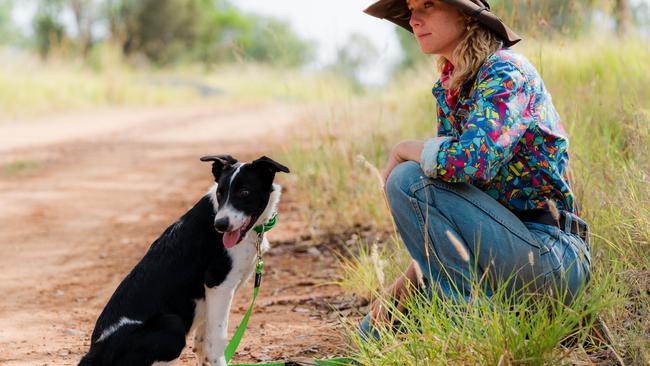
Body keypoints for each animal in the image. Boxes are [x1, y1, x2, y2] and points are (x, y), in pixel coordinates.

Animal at [79, 155, 288, 366]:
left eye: (244, 192)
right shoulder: (218, 284)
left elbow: (203, 343)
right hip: (172, 324)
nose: (220, 225)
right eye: (220, 193)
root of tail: (96, 352)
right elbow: (216, 342)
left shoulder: (212, 296)